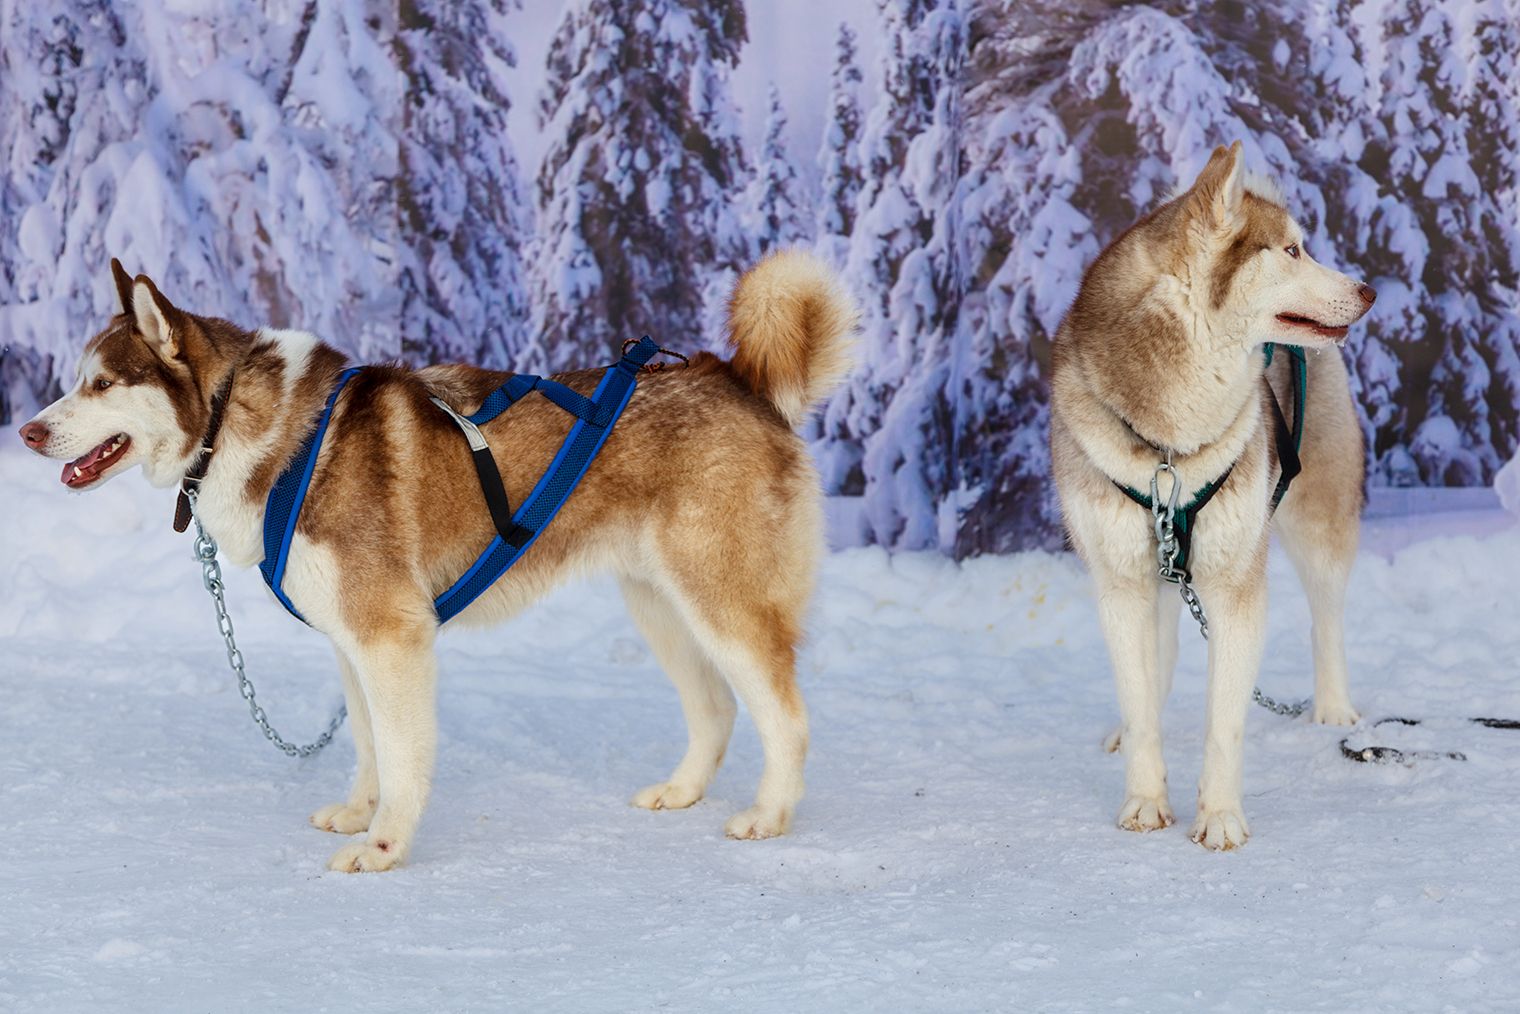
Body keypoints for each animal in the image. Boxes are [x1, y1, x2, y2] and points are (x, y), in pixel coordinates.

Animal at [20, 247, 857, 875]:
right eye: (77, 380)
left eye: (101, 383)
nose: (28, 431)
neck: (260, 434)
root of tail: (741, 382)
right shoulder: (351, 644)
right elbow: (367, 744)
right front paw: (359, 812)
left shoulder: (392, 637)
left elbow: (402, 754)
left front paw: (384, 845)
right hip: (659, 604)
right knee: (716, 709)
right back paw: (681, 792)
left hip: (722, 602)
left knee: (786, 716)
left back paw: (768, 814)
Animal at [1051, 142, 1374, 851]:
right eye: (1292, 250)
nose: (1369, 290)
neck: (1169, 446)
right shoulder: (1121, 580)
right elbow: (1142, 700)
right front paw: (1145, 800)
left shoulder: (1235, 585)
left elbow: (1224, 724)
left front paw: (1220, 816)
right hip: (1163, 567)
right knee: (1162, 654)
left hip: (1318, 521)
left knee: (1328, 619)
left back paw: (1335, 708)